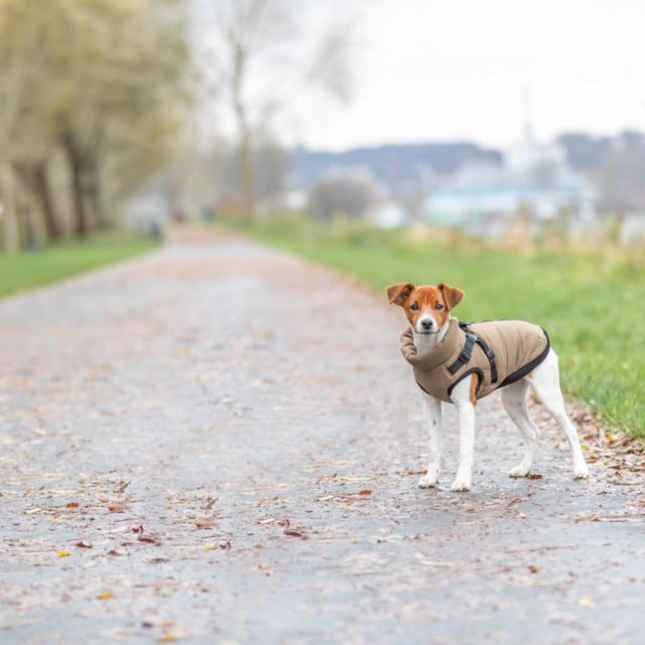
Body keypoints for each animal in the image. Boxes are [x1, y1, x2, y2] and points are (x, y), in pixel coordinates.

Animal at [388, 280, 588, 490]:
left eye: (439, 306)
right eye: (414, 306)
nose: (427, 323)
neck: (435, 355)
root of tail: (537, 328)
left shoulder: (466, 406)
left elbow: (464, 449)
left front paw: (462, 481)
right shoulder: (430, 405)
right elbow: (434, 446)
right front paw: (431, 478)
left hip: (548, 395)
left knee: (571, 431)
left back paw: (580, 469)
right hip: (512, 402)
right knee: (532, 433)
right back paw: (524, 469)